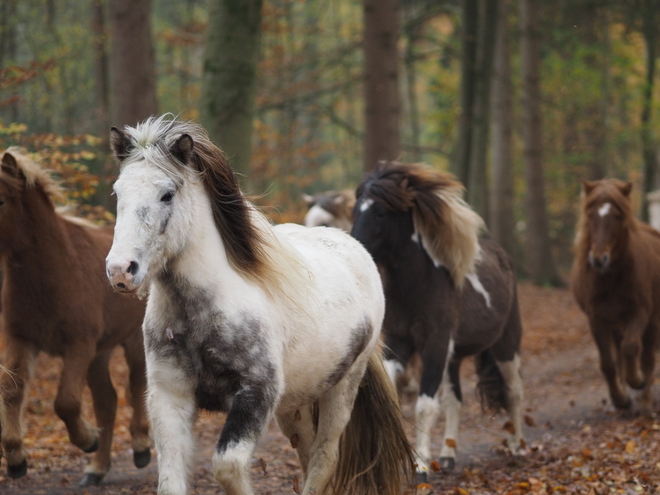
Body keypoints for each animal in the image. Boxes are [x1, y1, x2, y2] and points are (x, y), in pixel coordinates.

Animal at [0, 149, 150, 486]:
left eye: (1, 200)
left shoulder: (78, 345)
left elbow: (66, 402)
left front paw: (87, 439)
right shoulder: (21, 339)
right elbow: (12, 389)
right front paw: (16, 459)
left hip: (133, 342)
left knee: (137, 387)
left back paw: (140, 447)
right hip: (100, 353)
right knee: (107, 401)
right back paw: (96, 469)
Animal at [105, 117, 416, 495]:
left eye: (167, 194)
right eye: (118, 192)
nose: (121, 270)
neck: (202, 313)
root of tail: (353, 246)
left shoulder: (255, 395)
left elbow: (227, 466)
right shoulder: (170, 396)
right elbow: (171, 481)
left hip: (342, 388)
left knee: (324, 458)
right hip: (296, 403)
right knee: (307, 453)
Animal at [354, 162, 524, 476]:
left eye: (381, 211)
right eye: (356, 209)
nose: (355, 247)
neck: (418, 288)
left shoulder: (434, 345)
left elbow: (425, 405)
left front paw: (421, 463)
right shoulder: (399, 344)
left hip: (506, 345)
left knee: (514, 391)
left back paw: (518, 446)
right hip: (453, 358)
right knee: (455, 400)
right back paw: (448, 455)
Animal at [568, 180, 660, 416]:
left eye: (618, 216)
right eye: (590, 214)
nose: (598, 259)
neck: (610, 278)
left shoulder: (640, 313)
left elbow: (631, 348)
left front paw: (636, 380)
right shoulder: (597, 319)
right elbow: (608, 364)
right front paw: (620, 400)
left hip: (651, 321)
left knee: (647, 358)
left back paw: (645, 401)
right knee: (620, 357)